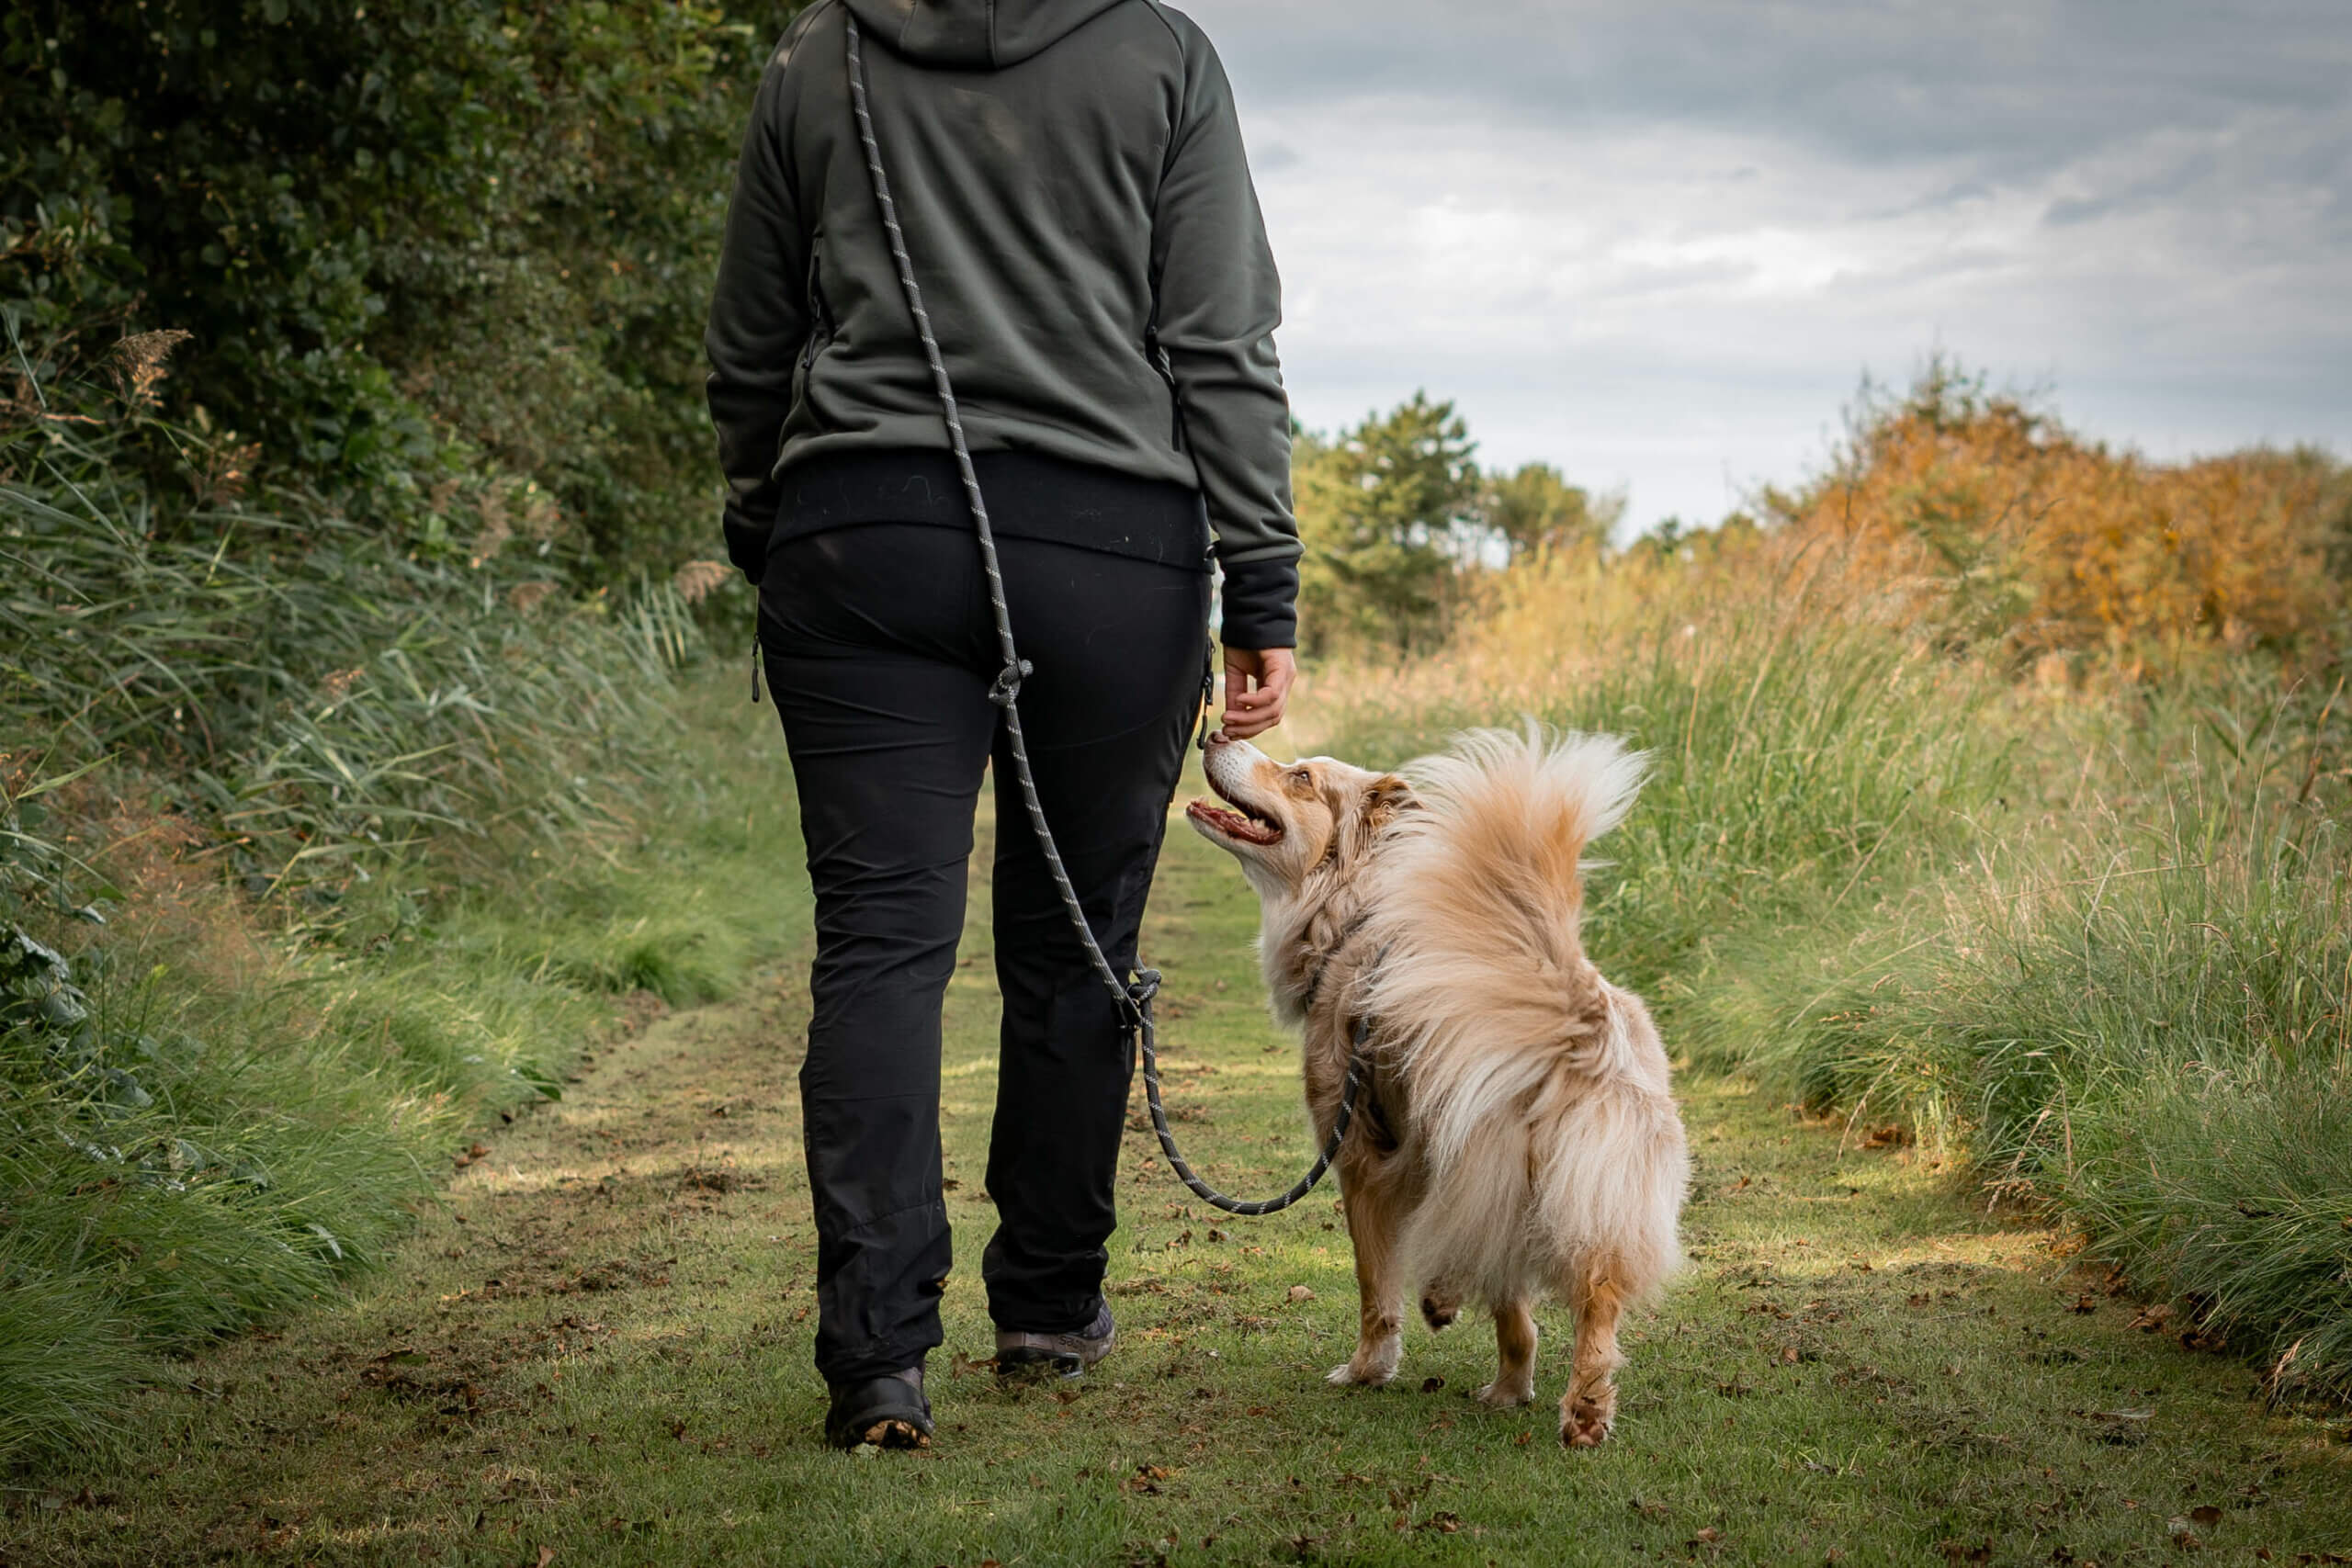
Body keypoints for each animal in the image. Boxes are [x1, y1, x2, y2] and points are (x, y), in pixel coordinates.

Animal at [1194, 724, 1693, 1448]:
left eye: (1302, 777)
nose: (1212, 732)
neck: (1351, 910)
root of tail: (1573, 1000)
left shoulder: (1360, 1154)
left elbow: (1375, 1285)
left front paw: (1368, 1367)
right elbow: (1513, 1303)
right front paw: (1508, 1377)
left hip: (1479, 1149)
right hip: (1589, 1182)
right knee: (1588, 1297)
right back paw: (1572, 1405)